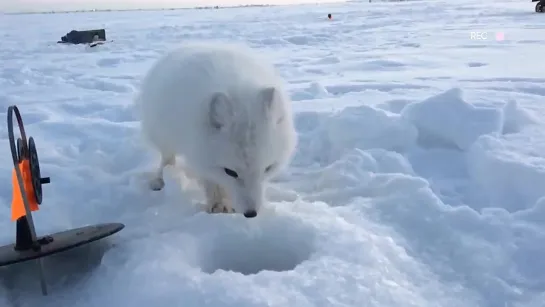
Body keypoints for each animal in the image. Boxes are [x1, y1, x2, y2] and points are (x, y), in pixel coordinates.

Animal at [135, 41, 298, 219]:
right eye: (230, 172)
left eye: (267, 168)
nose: (251, 213)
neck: (237, 88)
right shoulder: (200, 156)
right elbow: (212, 183)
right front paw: (218, 206)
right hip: (164, 136)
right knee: (166, 159)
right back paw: (160, 179)